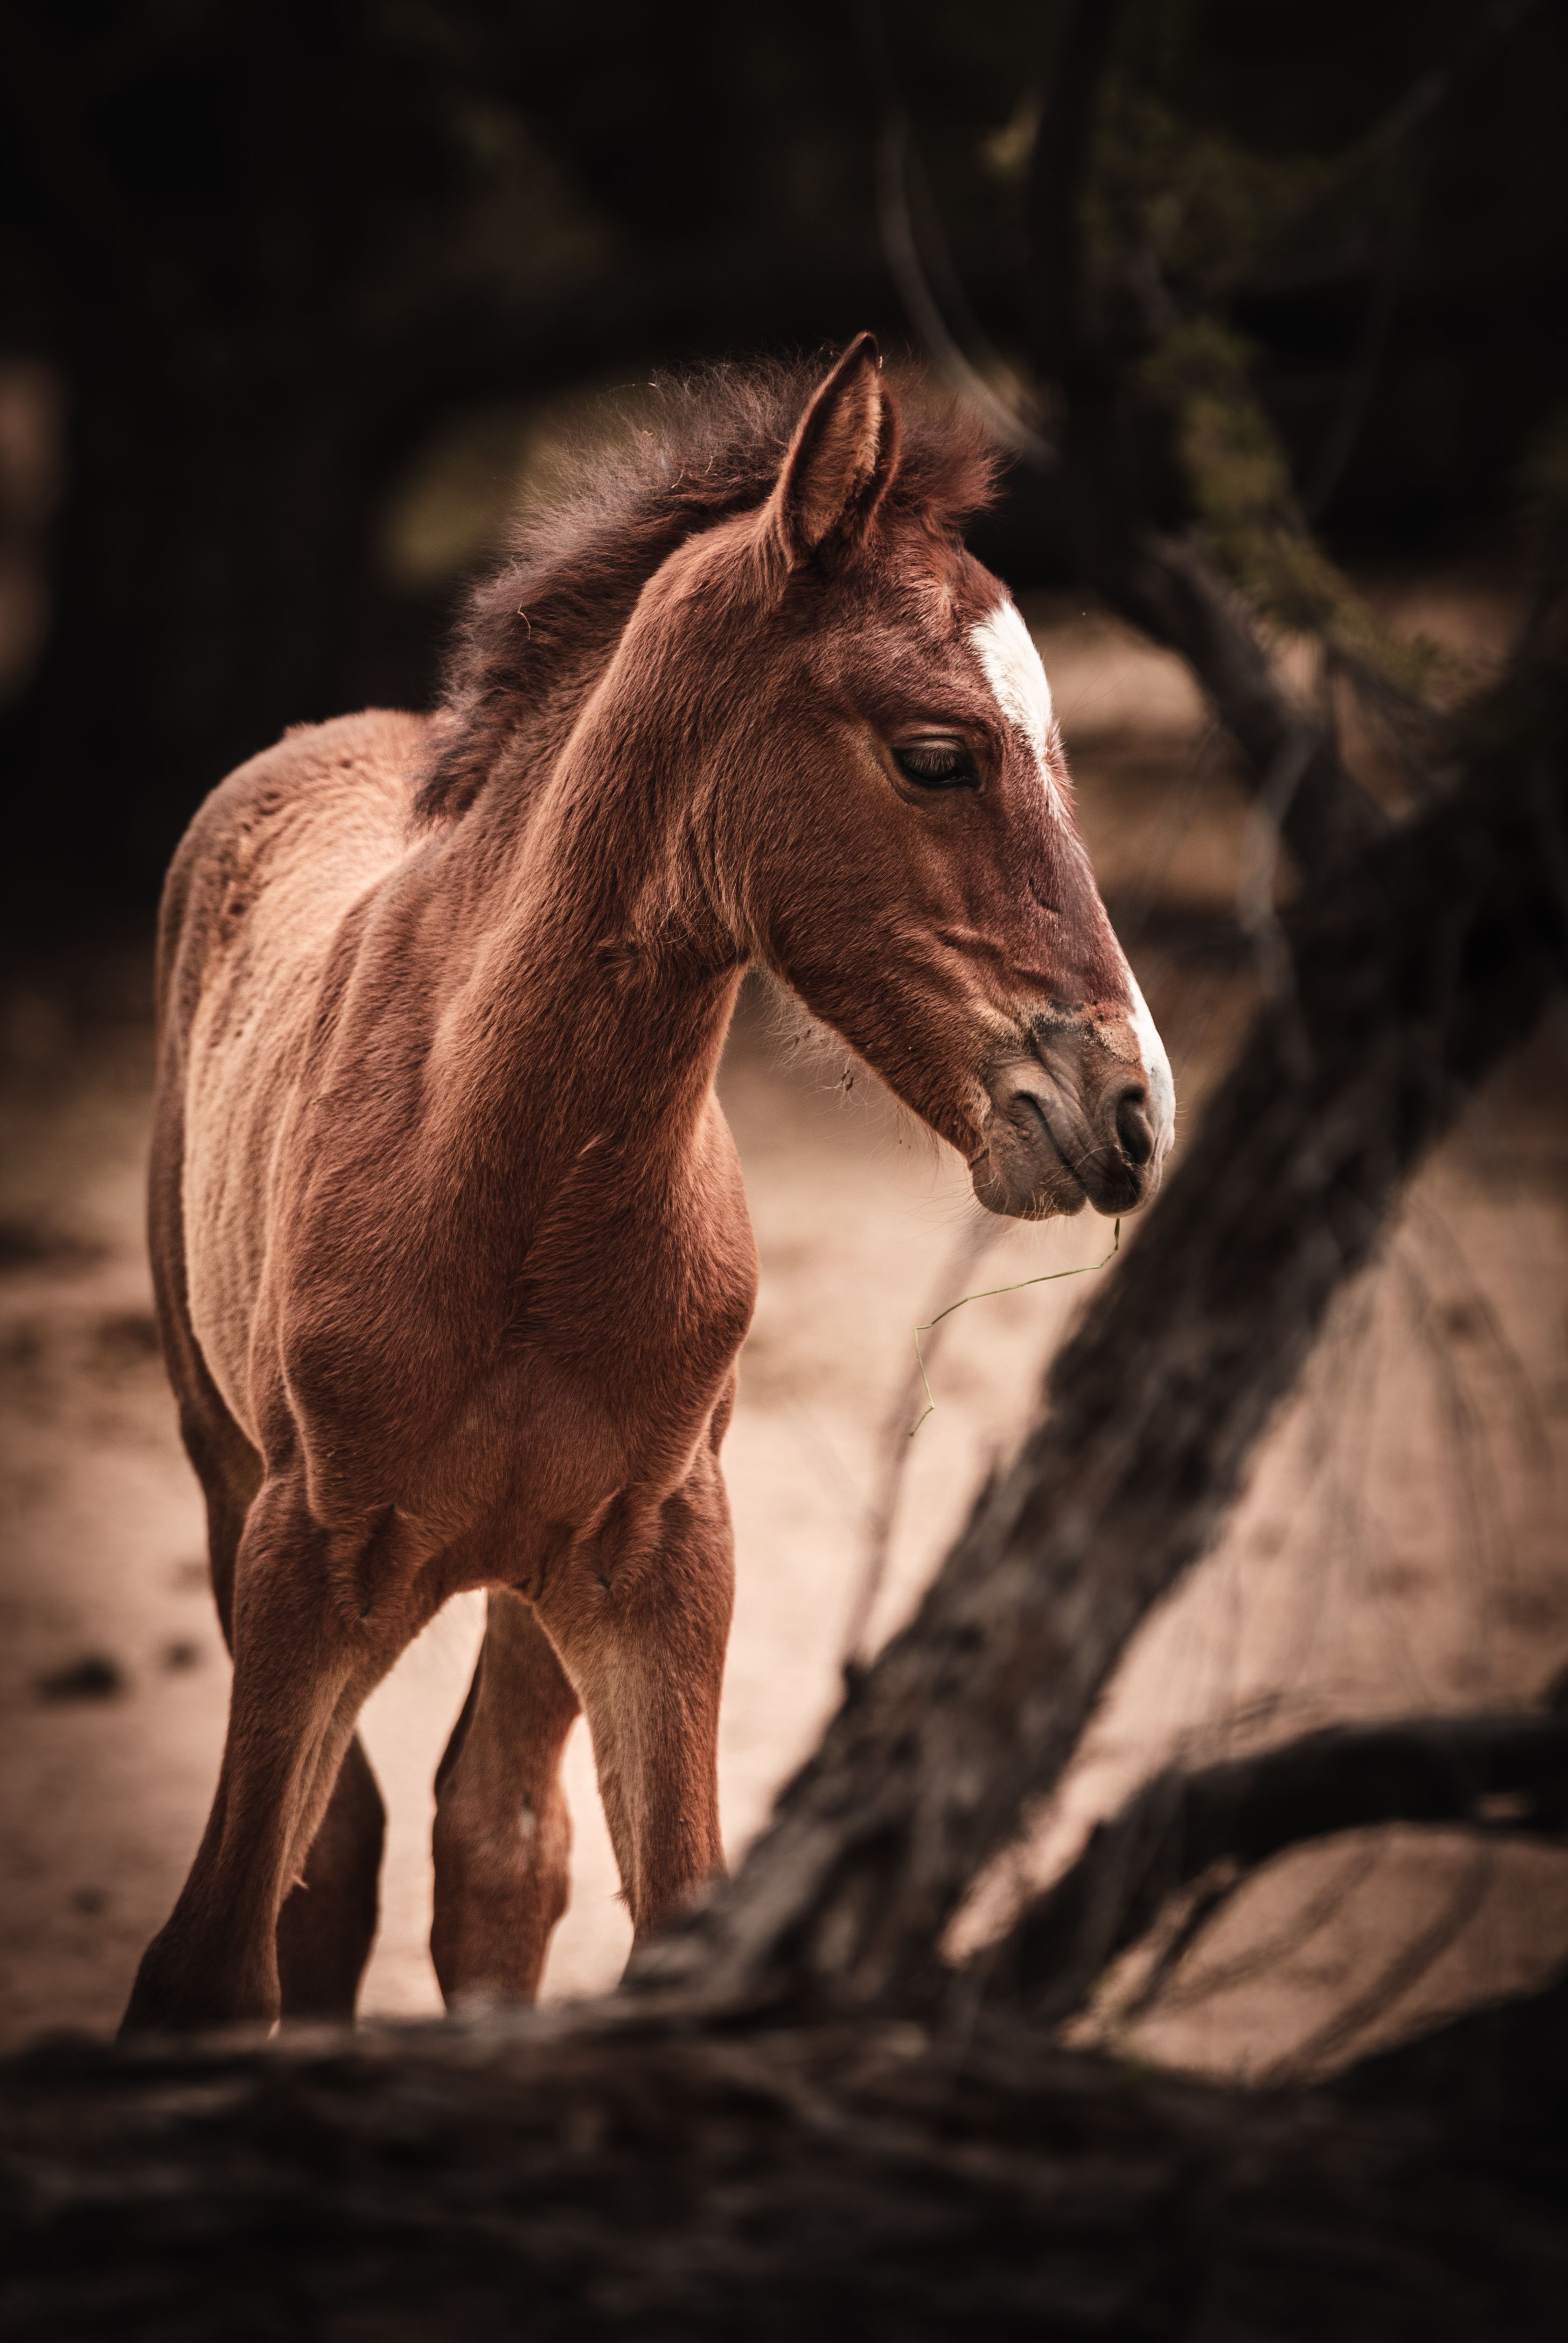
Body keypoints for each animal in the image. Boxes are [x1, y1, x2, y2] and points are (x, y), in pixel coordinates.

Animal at [122, 335, 1167, 2033]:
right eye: (936, 755)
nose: (1129, 1109)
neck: (505, 1189)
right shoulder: (304, 1558)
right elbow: (217, 1954)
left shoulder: (664, 1561)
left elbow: (658, 1907)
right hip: (225, 1469)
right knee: (351, 1851)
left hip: (527, 1577)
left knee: (493, 1841)